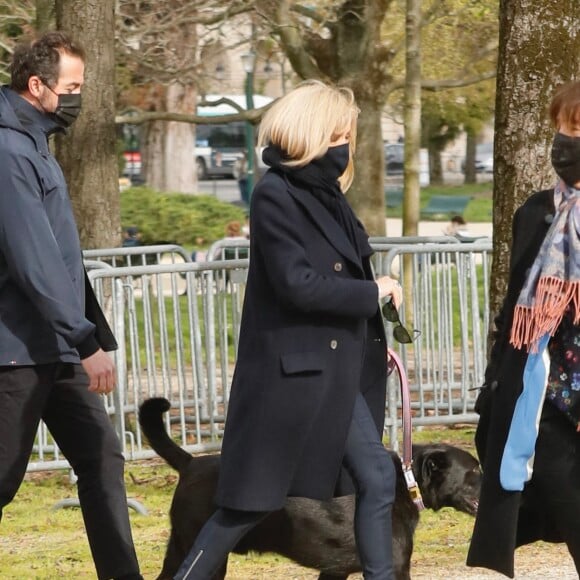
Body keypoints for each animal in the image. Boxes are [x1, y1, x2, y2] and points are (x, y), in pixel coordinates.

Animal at [137, 398, 480, 580]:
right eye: (475, 470)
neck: (405, 483)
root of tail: (190, 463)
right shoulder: (395, 566)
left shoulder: (334, 570)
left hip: (179, 547)